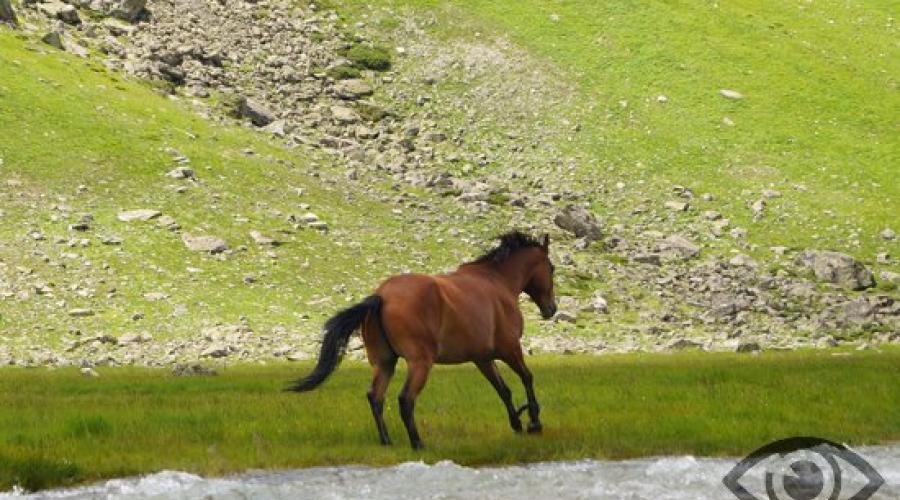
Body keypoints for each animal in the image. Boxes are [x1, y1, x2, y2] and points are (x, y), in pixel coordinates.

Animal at [288, 230, 556, 450]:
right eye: (551, 268)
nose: (551, 309)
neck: (497, 283)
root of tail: (381, 296)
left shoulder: (483, 359)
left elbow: (504, 390)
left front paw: (517, 424)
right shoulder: (510, 349)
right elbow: (527, 378)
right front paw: (534, 422)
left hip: (385, 363)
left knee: (376, 397)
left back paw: (386, 441)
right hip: (420, 363)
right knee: (405, 400)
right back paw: (417, 443)